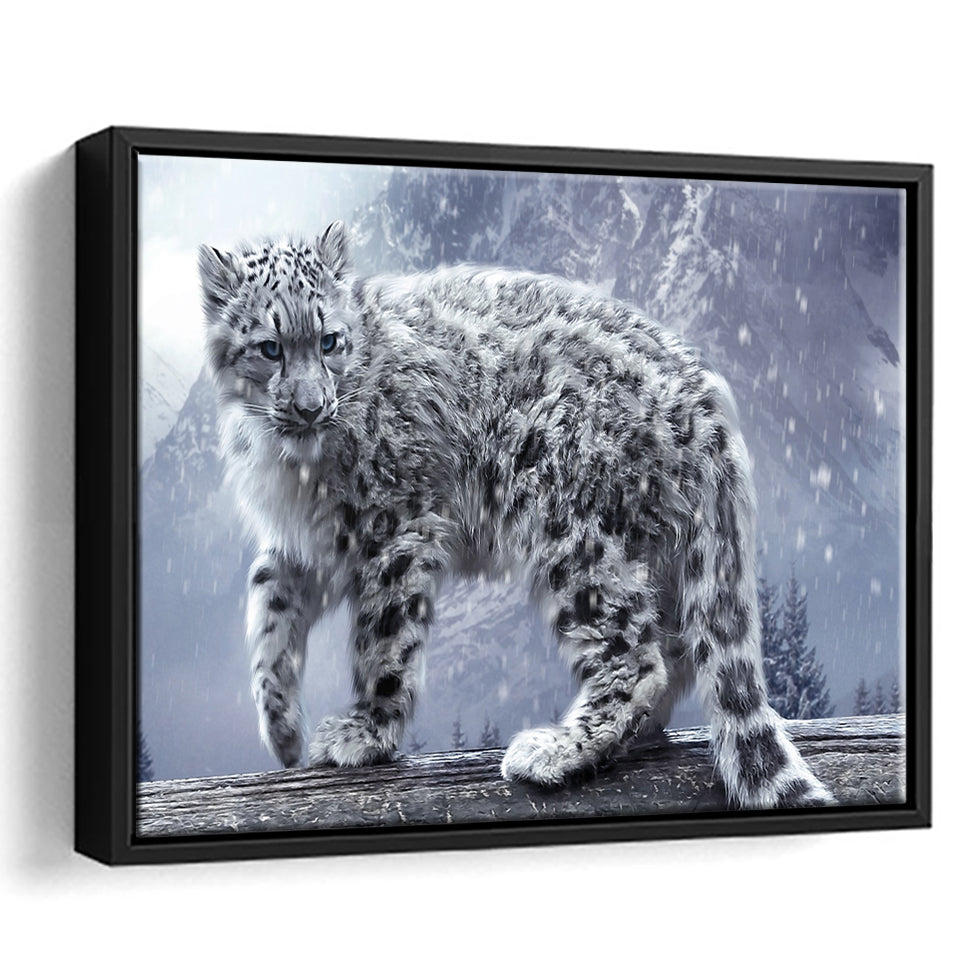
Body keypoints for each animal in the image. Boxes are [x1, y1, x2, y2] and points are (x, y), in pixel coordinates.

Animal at [198, 220, 833, 809]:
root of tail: (703, 401)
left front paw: (365, 733)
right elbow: (268, 607)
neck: (292, 468)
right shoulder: (309, 542)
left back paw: (554, 751)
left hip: (576, 535)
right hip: (657, 549)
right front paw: (282, 728)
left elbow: (382, 639)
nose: (310, 407)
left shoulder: (395, 528)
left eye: (330, 340)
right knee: (677, 647)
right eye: (271, 348)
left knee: (639, 654)